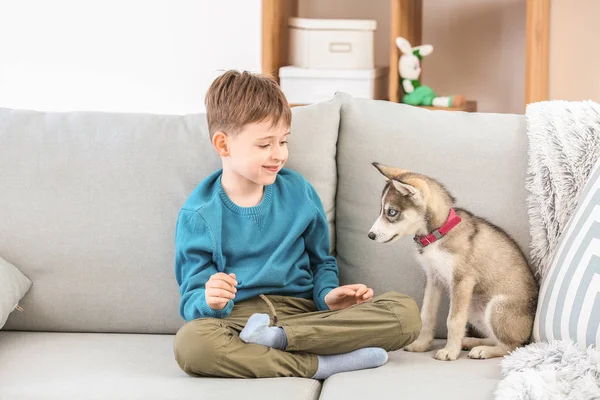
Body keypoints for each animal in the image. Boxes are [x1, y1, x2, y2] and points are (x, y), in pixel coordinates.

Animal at [368, 162, 536, 362]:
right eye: (381, 210)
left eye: (392, 212)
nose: (370, 235)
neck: (438, 234)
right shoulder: (433, 279)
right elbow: (427, 315)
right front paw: (421, 344)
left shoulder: (462, 282)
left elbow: (454, 320)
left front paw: (450, 351)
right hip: (474, 307)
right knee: (496, 338)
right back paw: (471, 342)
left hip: (496, 307)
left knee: (512, 346)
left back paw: (483, 350)